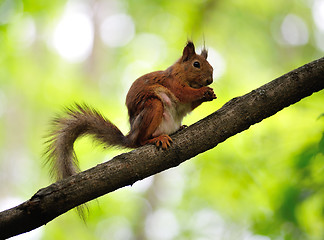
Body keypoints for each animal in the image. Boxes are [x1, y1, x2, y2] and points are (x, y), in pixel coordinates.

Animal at [45, 41, 216, 180]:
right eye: (196, 64)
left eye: (211, 66)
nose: (210, 80)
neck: (180, 74)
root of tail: (131, 136)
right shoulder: (172, 83)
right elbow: (184, 94)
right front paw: (204, 91)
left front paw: (210, 94)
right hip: (153, 107)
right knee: (141, 141)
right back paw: (156, 139)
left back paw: (179, 128)